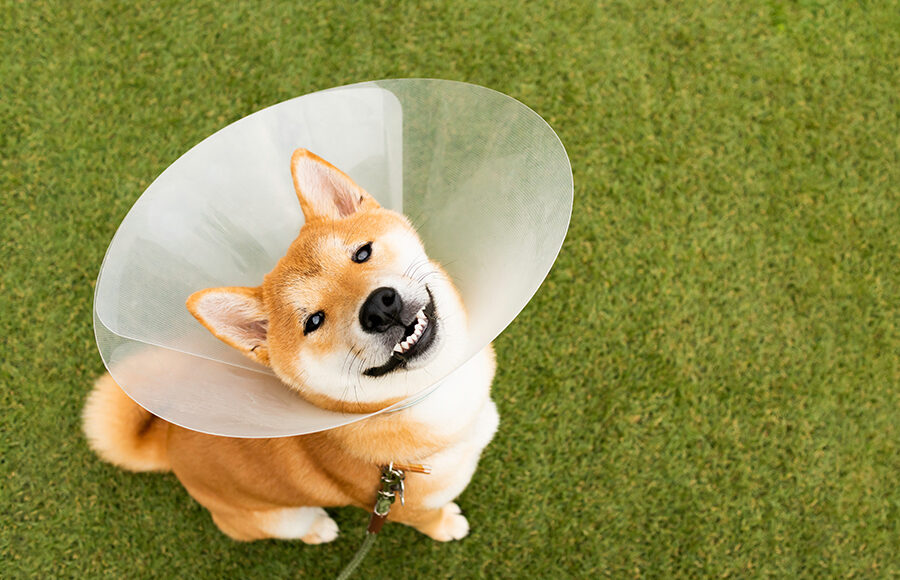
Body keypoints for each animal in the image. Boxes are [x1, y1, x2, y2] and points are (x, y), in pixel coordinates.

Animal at [82, 150, 500, 544]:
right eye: (313, 322)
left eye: (362, 253)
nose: (380, 308)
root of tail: (168, 444)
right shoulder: (400, 506)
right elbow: (430, 518)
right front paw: (446, 526)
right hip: (278, 518)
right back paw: (319, 529)